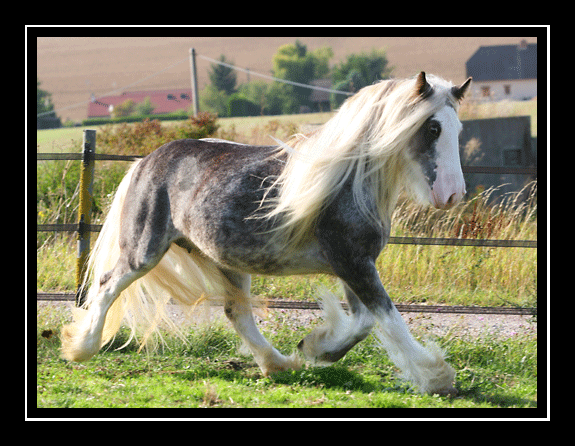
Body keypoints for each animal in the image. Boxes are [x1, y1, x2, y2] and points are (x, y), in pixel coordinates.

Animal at [59, 72, 472, 394]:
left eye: (457, 128)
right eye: (432, 128)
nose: (453, 195)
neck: (350, 183)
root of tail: (145, 162)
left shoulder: (354, 265)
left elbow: (364, 322)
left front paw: (315, 349)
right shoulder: (353, 263)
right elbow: (389, 320)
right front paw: (436, 378)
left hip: (224, 260)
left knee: (236, 313)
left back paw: (278, 364)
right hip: (143, 250)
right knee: (106, 286)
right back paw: (81, 348)